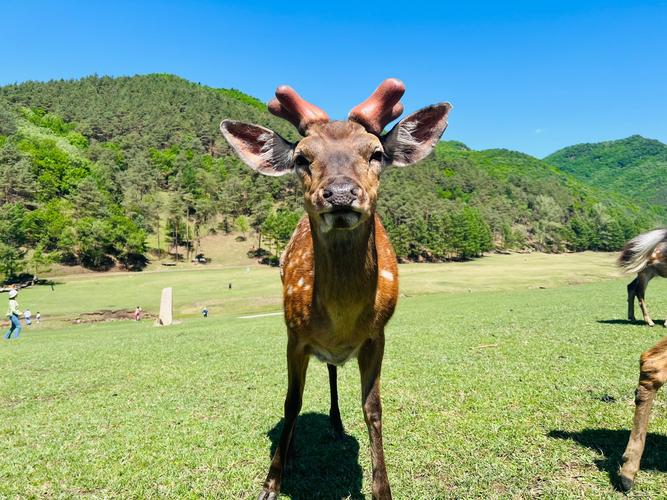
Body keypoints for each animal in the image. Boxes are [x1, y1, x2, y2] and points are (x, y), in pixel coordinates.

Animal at [220, 79, 451, 499]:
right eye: (301, 158)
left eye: (376, 153)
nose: (341, 193)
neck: (342, 320)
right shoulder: (293, 335)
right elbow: (291, 402)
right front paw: (272, 481)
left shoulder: (377, 335)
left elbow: (373, 408)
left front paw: (382, 488)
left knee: (331, 370)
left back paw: (337, 424)